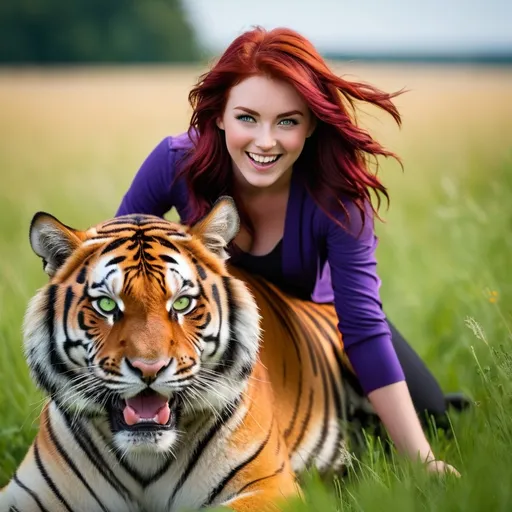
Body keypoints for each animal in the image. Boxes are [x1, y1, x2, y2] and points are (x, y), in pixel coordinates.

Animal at [0, 197, 372, 512]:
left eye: (181, 303)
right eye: (106, 304)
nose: (149, 369)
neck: (145, 459)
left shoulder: (269, 487)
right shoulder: (27, 493)